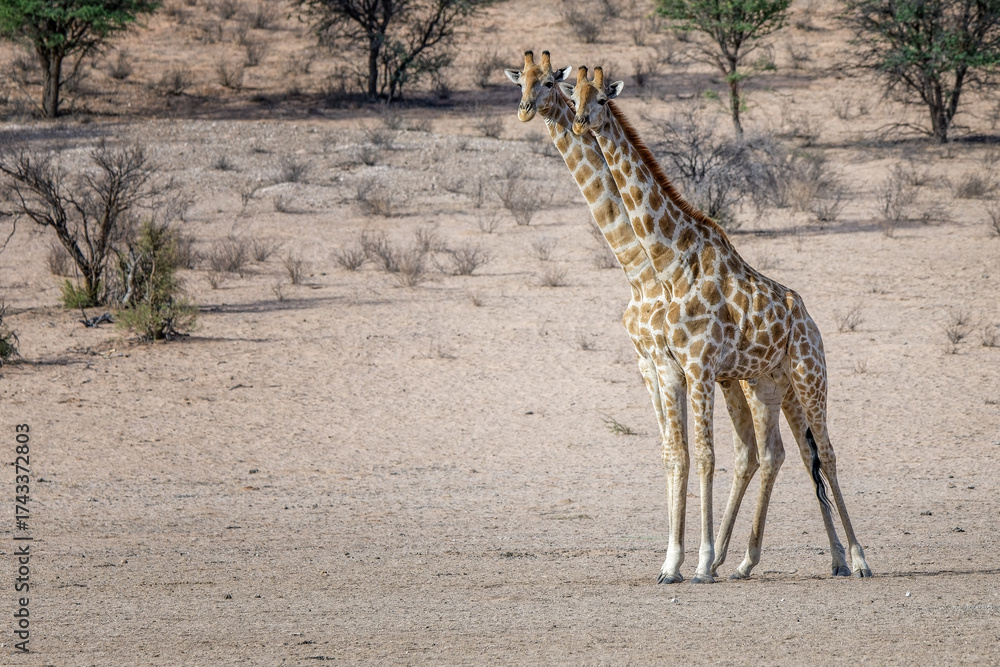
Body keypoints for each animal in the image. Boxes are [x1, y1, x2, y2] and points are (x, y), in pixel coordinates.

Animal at [507, 52, 856, 582]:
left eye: (551, 83)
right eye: (521, 81)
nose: (528, 110)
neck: (650, 266)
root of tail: (809, 318)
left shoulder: (697, 365)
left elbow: (704, 456)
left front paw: (700, 561)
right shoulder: (657, 366)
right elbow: (676, 454)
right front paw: (674, 562)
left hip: (808, 375)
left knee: (823, 453)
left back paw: (856, 558)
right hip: (766, 382)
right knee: (778, 451)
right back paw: (775, 560)